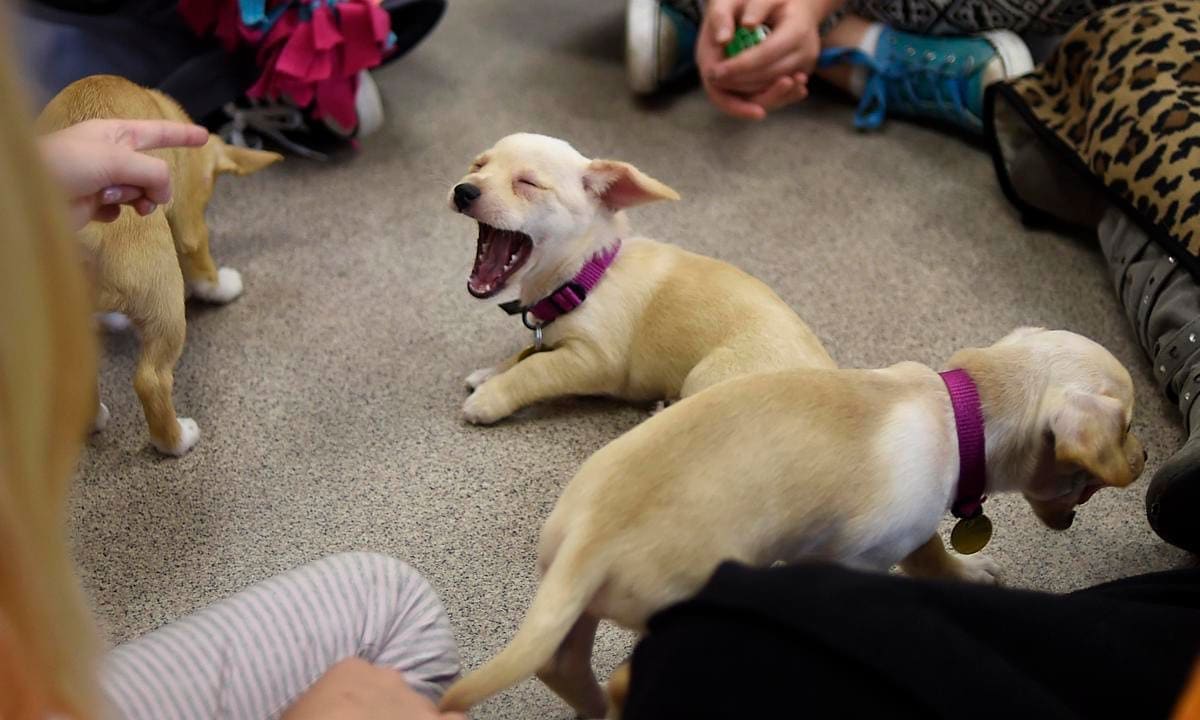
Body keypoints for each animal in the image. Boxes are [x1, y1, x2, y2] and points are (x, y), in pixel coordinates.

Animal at [439, 328, 1142, 715]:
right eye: (1129, 427)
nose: (1143, 460)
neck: (962, 405)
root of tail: (591, 540)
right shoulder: (876, 550)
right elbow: (932, 559)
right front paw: (971, 574)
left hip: (575, 599)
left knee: (562, 664)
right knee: (618, 676)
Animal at [451, 134, 835, 424]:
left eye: (527, 183)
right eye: (478, 166)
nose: (463, 190)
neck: (585, 275)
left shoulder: (590, 360)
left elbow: (534, 369)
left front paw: (489, 398)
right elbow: (523, 356)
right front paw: (490, 373)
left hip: (709, 377)